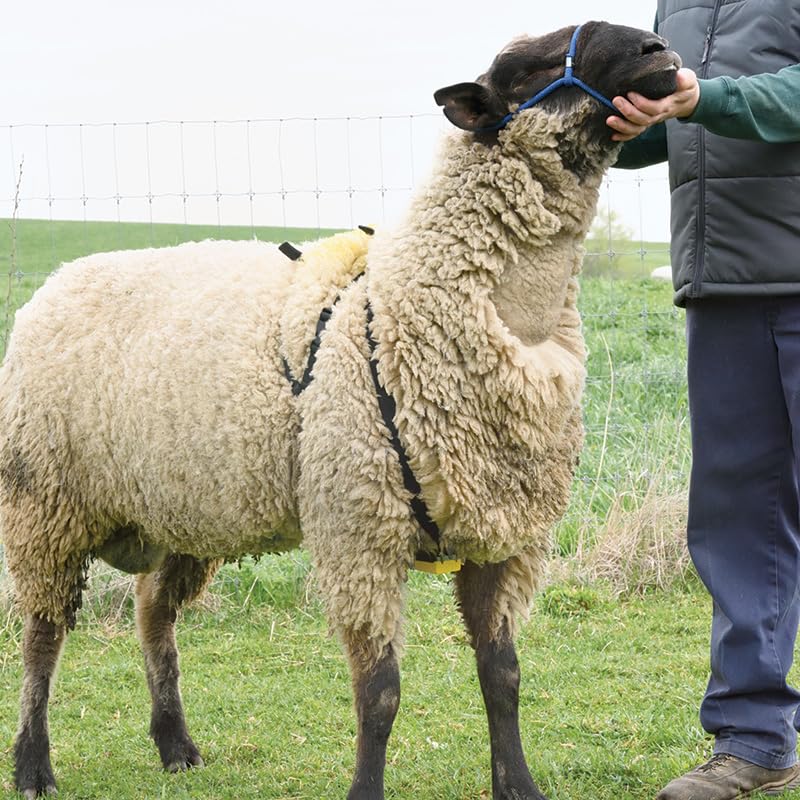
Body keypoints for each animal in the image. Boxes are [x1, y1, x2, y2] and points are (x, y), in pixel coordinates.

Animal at [0, 21, 680, 800]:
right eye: (527, 66)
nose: (659, 51)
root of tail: (58, 280)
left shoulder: (503, 532)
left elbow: (503, 676)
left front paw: (520, 786)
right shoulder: (360, 528)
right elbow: (379, 691)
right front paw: (366, 789)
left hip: (180, 505)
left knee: (151, 613)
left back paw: (175, 745)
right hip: (45, 502)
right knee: (42, 636)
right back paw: (33, 763)